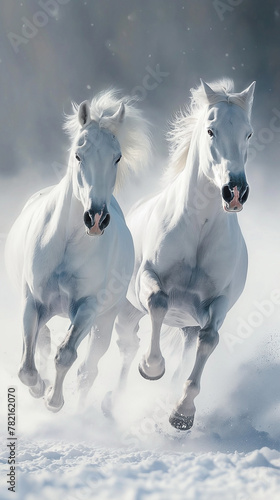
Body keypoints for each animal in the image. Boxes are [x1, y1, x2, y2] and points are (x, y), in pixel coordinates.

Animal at [5, 90, 151, 414]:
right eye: (78, 155)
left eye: (117, 157)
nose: (96, 218)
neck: (66, 245)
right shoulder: (32, 302)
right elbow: (26, 367)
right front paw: (39, 387)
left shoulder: (87, 308)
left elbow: (67, 355)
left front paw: (54, 400)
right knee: (45, 342)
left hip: (105, 320)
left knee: (88, 369)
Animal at [109, 78, 256, 430]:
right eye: (211, 130)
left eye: (249, 133)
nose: (235, 191)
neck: (199, 231)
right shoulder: (149, 280)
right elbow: (159, 302)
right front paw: (151, 369)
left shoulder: (217, 304)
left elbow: (209, 340)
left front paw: (182, 413)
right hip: (127, 308)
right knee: (127, 345)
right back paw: (113, 403)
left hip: (186, 325)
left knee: (187, 348)